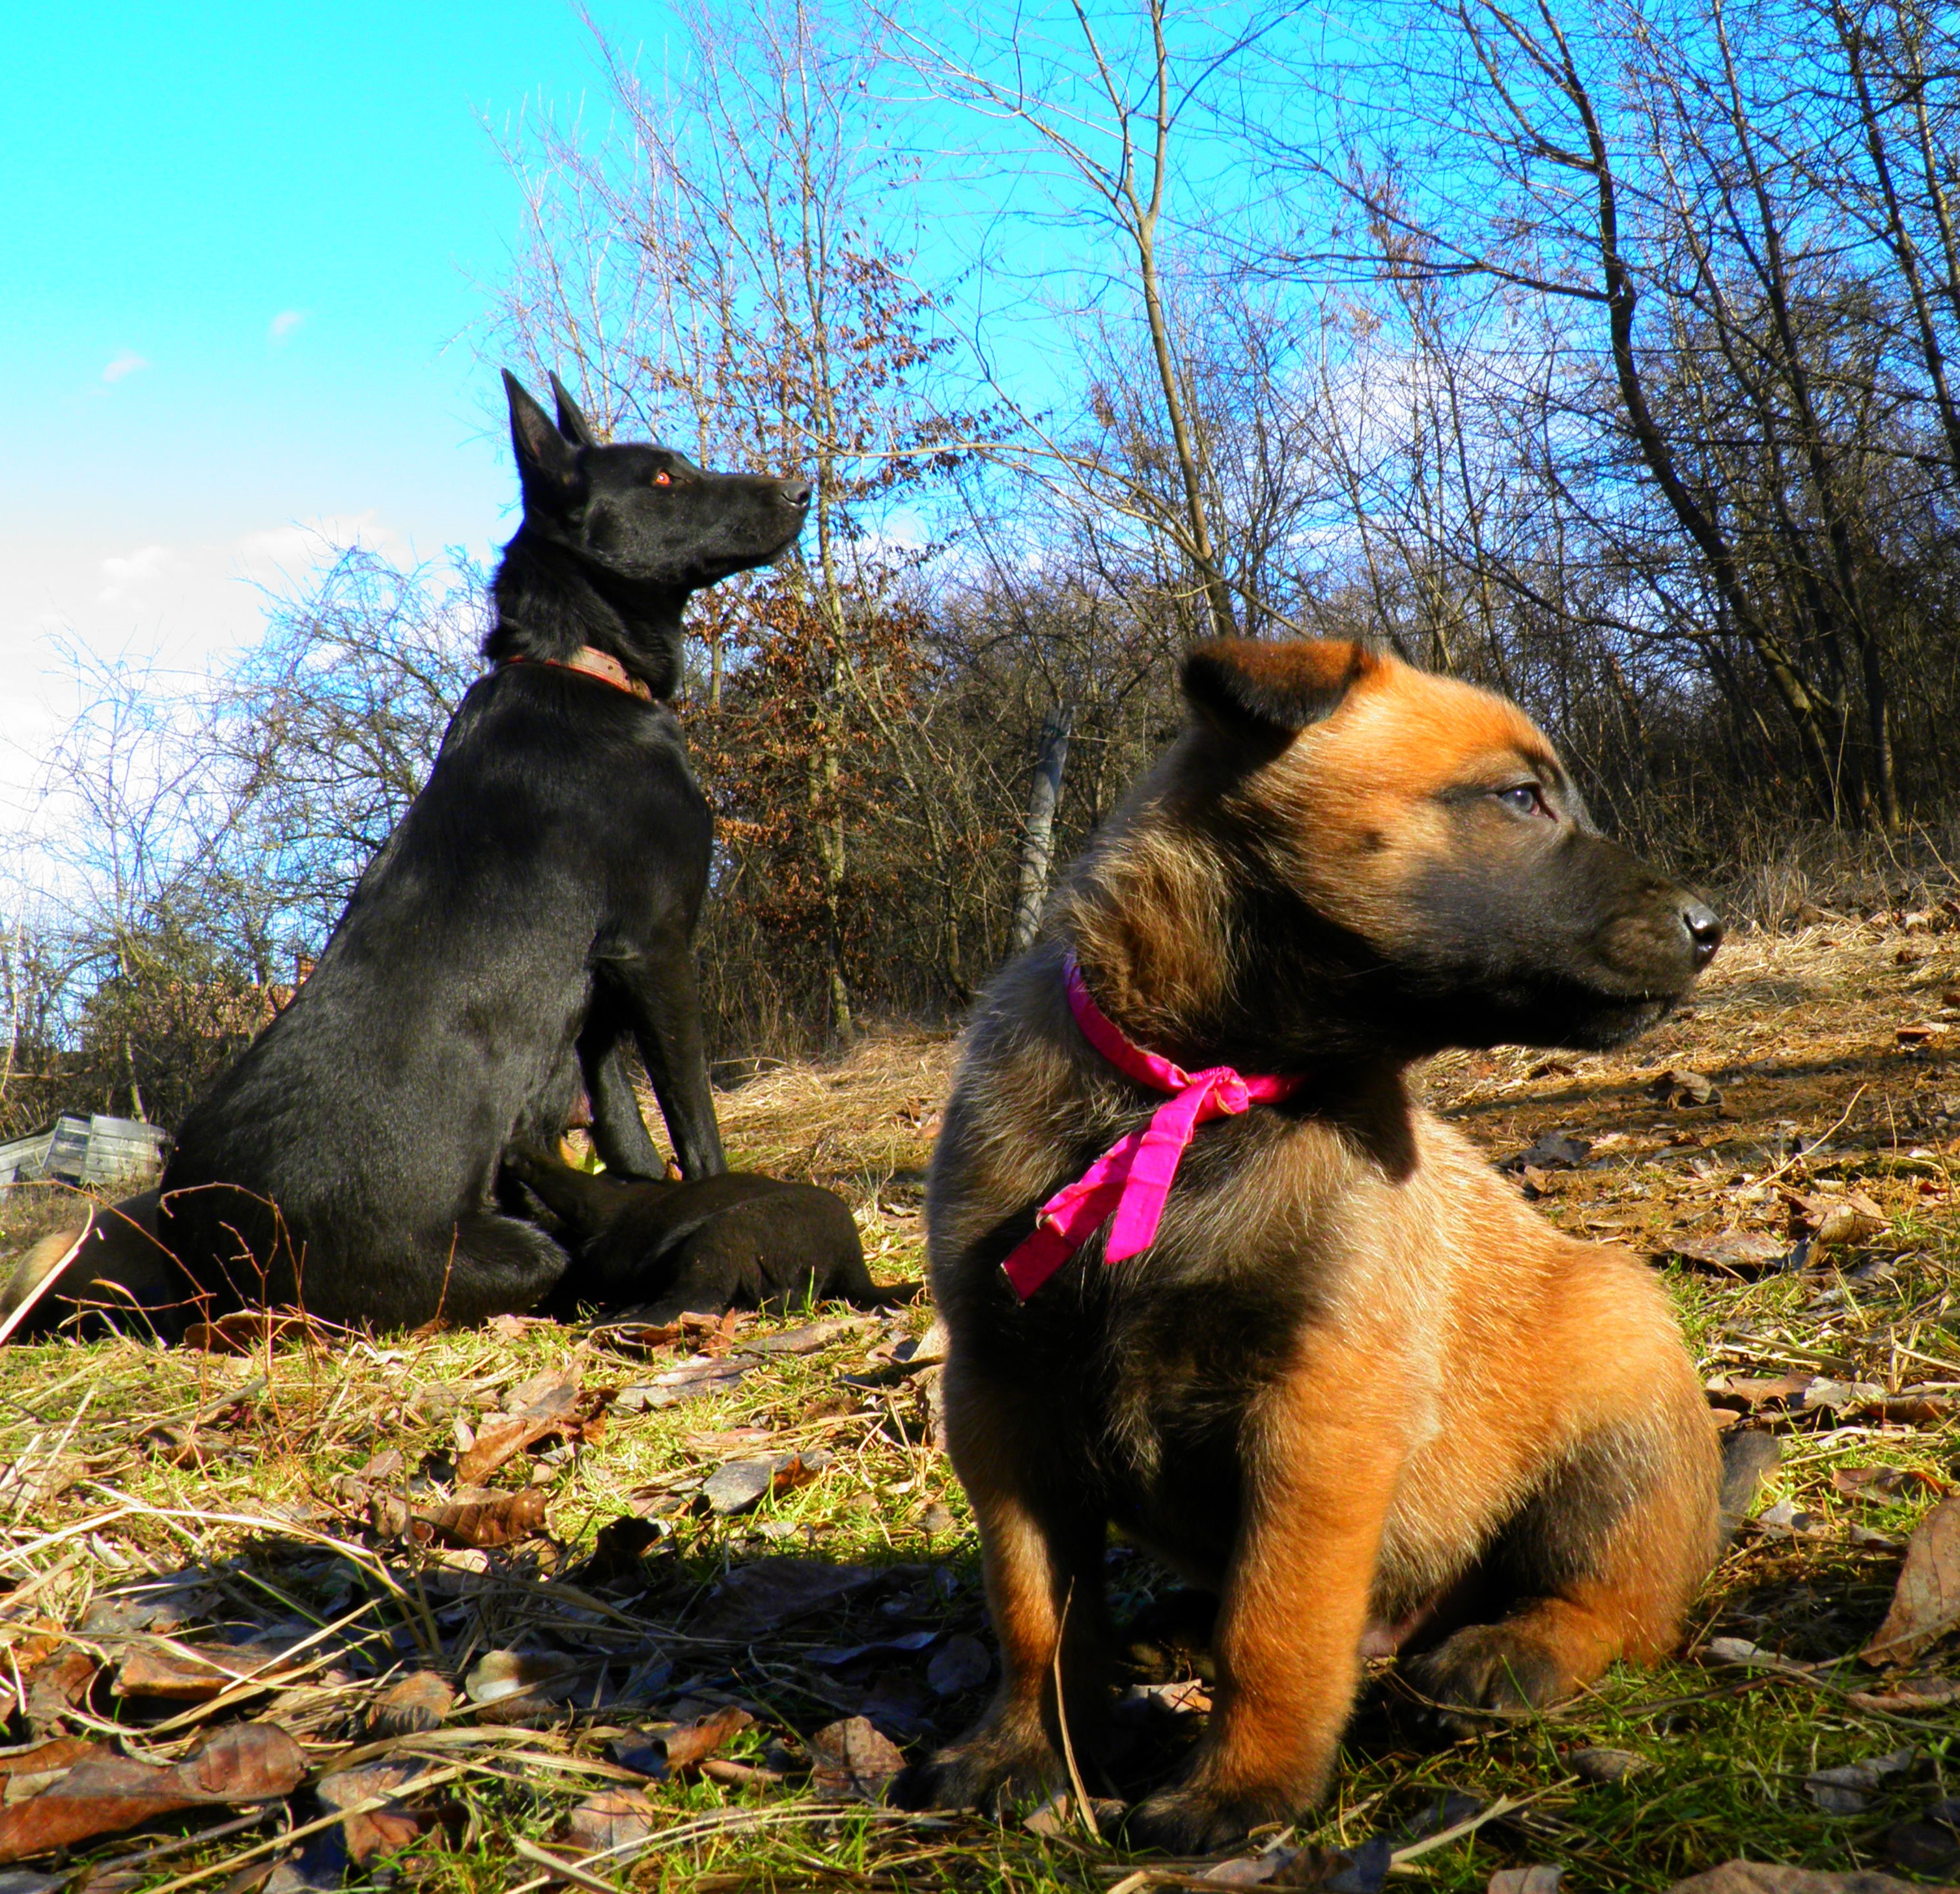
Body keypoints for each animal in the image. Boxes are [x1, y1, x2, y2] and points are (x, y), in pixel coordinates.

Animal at [11, 375, 811, 1337]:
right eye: (664, 479)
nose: (802, 489)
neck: (583, 667)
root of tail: (210, 1255)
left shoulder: (599, 1005)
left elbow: (632, 1137)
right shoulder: (656, 953)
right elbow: (696, 1127)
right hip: (504, 1250)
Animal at [501, 1143, 894, 1319]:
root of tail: (850, 1263)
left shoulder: (598, 1202)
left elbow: (559, 1179)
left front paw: (517, 1154)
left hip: (720, 1236)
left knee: (697, 1299)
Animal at [910, 637, 1732, 1851]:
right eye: (1518, 797)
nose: (1711, 926)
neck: (1205, 1091)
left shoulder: (1318, 1413)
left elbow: (1276, 1621)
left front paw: (1241, 1787)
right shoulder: (1001, 1396)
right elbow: (1034, 1611)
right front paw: (1021, 1751)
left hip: (1620, 1376)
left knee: (1615, 1603)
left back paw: (1510, 1654)